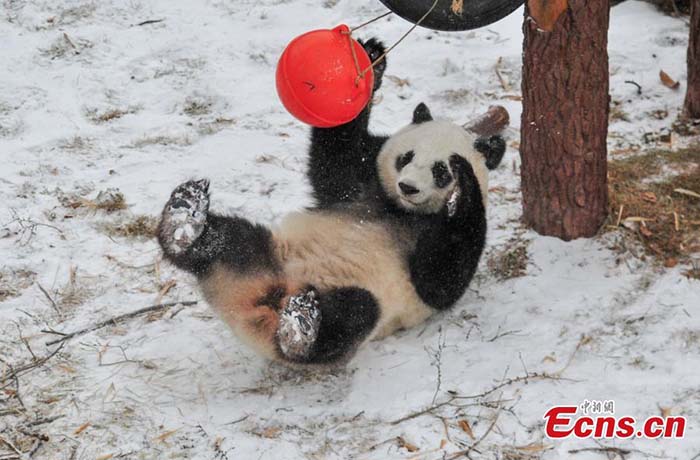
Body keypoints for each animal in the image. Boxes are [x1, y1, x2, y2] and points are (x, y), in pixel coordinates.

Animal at [158, 40, 504, 370]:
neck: (399, 209)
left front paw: (463, 189)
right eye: (407, 157)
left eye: (441, 171)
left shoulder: (429, 237)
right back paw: (184, 223)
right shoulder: (364, 179)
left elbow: (439, 281)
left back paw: (302, 329)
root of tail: (255, 305)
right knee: (228, 240)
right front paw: (370, 60)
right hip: (264, 252)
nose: (408, 186)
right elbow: (335, 158)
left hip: (358, 301)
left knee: (354, 315)